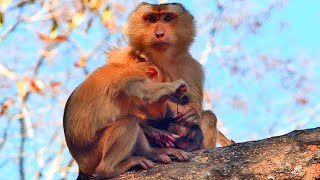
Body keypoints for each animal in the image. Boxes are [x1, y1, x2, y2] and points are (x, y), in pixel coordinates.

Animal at [63, 60, 191, 179]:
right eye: (163, 99)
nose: (163, 112)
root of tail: (81, 166)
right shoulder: (130, 77)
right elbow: (146, 92)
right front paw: (175, 85)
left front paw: (156, 133)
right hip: (93, 155)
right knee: (129, 122)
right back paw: (107, 170)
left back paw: (152, 152)